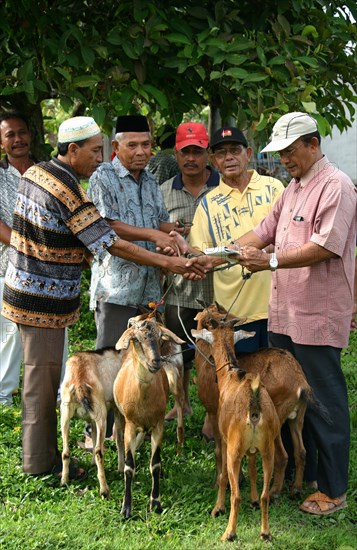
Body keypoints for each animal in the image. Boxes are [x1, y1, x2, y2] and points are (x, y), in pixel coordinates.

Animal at [114, 316, 185, 520]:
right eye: (136, 340)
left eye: (161, 338)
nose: (156, 362)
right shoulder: (130, 427)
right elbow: (129, 466)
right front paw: (126, 508)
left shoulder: (158, 426)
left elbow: (156, 464)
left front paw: (156, 503)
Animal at [193, 304, 312, 498]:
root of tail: (300, 381)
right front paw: (238, 479)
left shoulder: (213, 413)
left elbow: (219, 451)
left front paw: (219, 483)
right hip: (297, 416)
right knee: (300, 451)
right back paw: (296, 489)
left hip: (275, 419)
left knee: (282, 456)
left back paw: (274, 492)